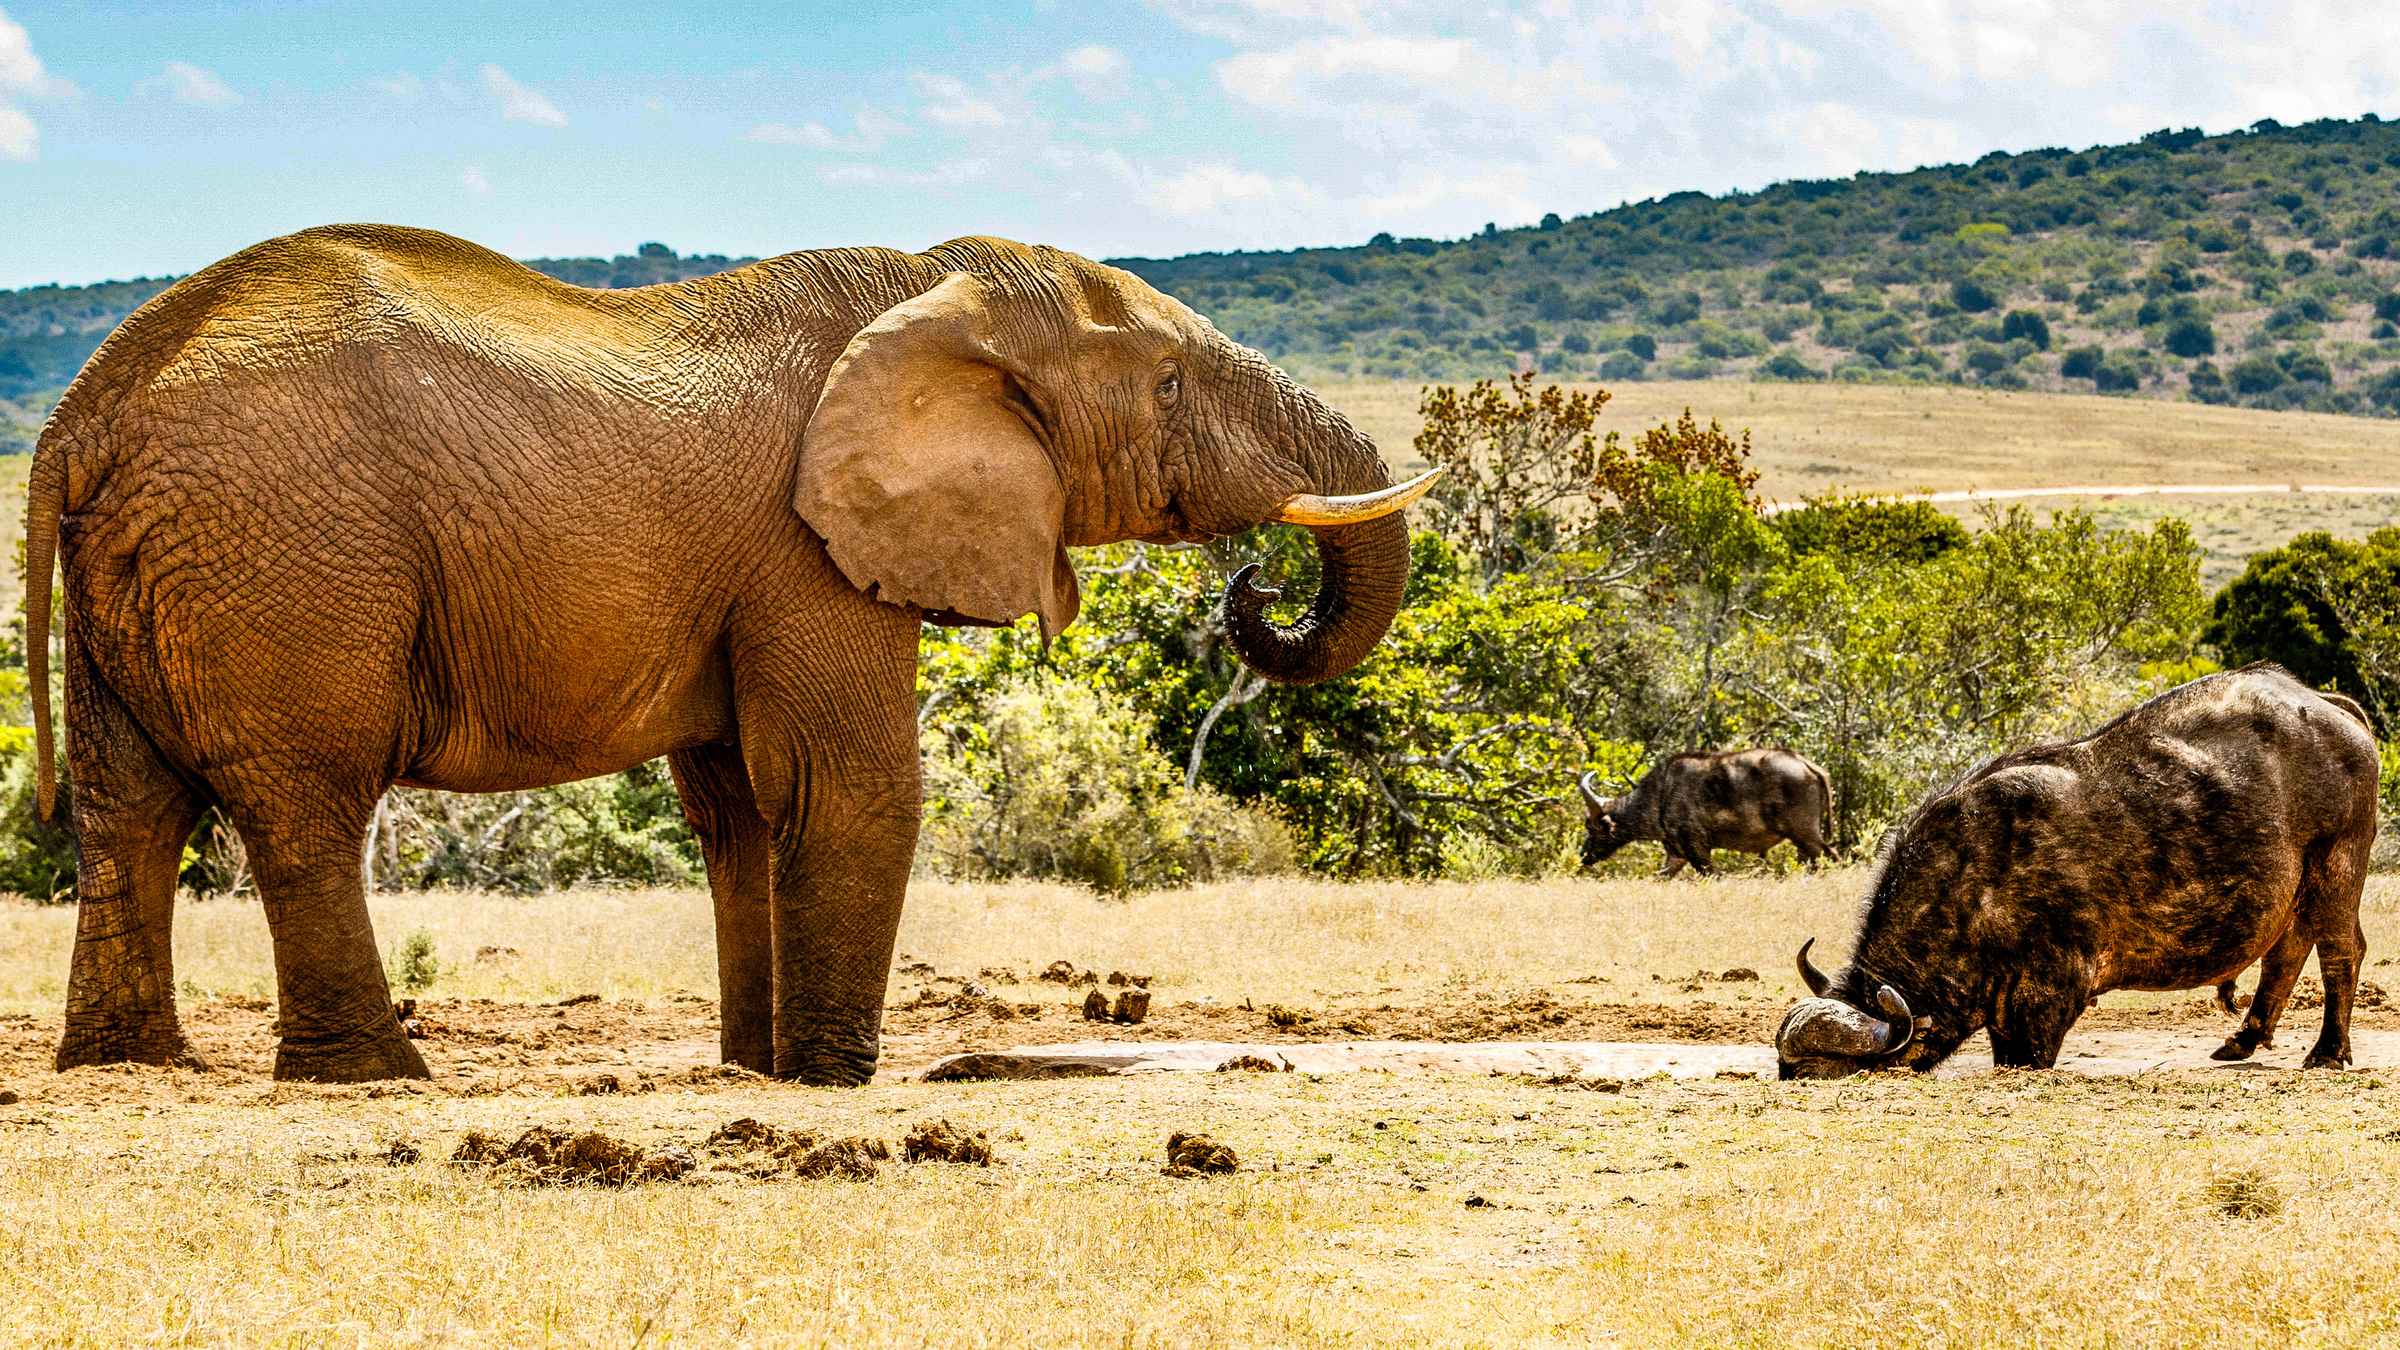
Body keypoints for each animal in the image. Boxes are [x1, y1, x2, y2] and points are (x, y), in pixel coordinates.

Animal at [24, 225, 1434, 1084]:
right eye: (1171, 388)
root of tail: (85, 407)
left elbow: (741, 805)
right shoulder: (806, 548)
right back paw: (377, 1074)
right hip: (290, 557)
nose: (1257, 584)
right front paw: (834, 1079)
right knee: (308, 804)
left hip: (153, 567)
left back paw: (127, 1064)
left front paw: (756, 1070)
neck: (934, 284)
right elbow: (849, 783)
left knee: (127, 809)